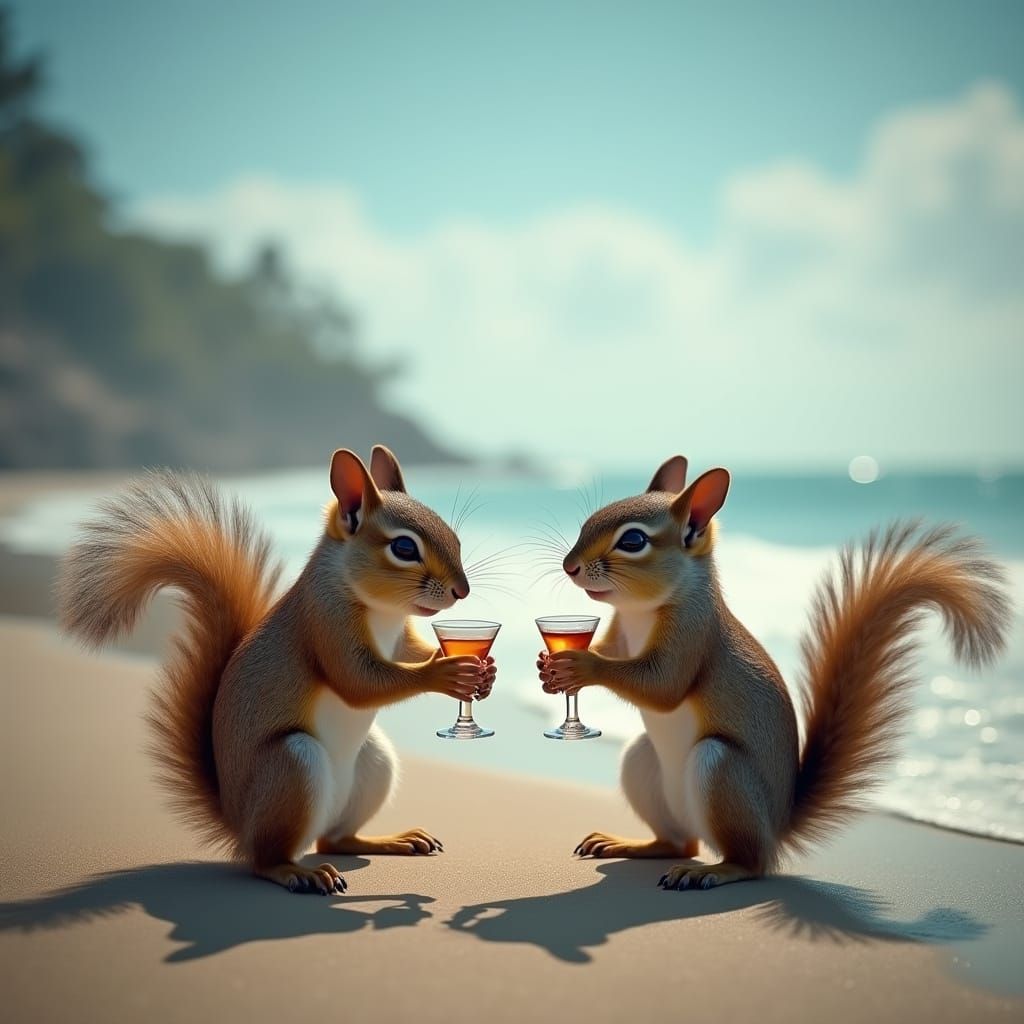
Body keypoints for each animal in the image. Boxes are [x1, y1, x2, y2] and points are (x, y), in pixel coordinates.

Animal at [58, 445, 495, 894]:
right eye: (405, 548)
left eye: (454, 536)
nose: (462, 591)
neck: (383, 612)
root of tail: (237, 823)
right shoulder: (324, 622)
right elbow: (357, 681)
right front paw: (447, 671)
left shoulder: (401, 638)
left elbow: (413, 650)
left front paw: (483, 668)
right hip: (291, 768)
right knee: (266, 860)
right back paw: (300, 872)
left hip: (374, 764)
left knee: (336, 839)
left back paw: (392, 840)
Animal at [537, 455, 1011, 890]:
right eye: (592, 519)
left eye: (633, 540)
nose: (569, 566)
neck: (641, 611)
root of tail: (777, 827)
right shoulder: (620, 631)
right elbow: (612, 652)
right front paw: (549, 665)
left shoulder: (693, 633)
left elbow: (662, 685)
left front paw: (581, 664)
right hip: (643, 765)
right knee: (677, 843)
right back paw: (630, 844)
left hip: (722, 771)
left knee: (750, 862)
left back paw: (712, 871)